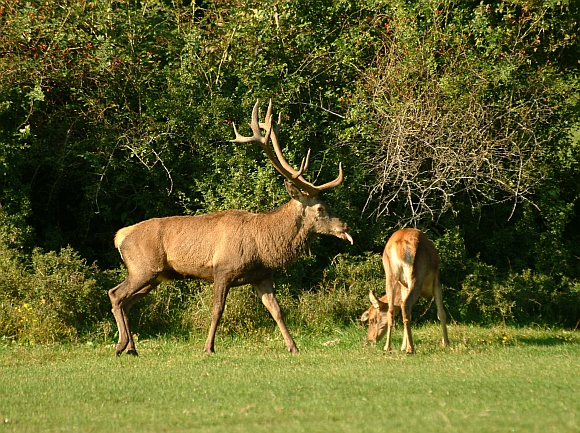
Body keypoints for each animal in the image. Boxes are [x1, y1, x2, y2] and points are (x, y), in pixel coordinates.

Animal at [109, 100, 354, 354]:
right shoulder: (222, 269)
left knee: (126, 302)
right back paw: (121, 345)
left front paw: (293, 347)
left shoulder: (262, 275)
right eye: (321, 208)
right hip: (144, 268)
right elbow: (217, 309)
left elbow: (276, 310)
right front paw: (208, 347)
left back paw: (131, 347)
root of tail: (120, 236)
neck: (264, 246)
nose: (345, 224)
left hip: (155, 276)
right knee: (115, 294)